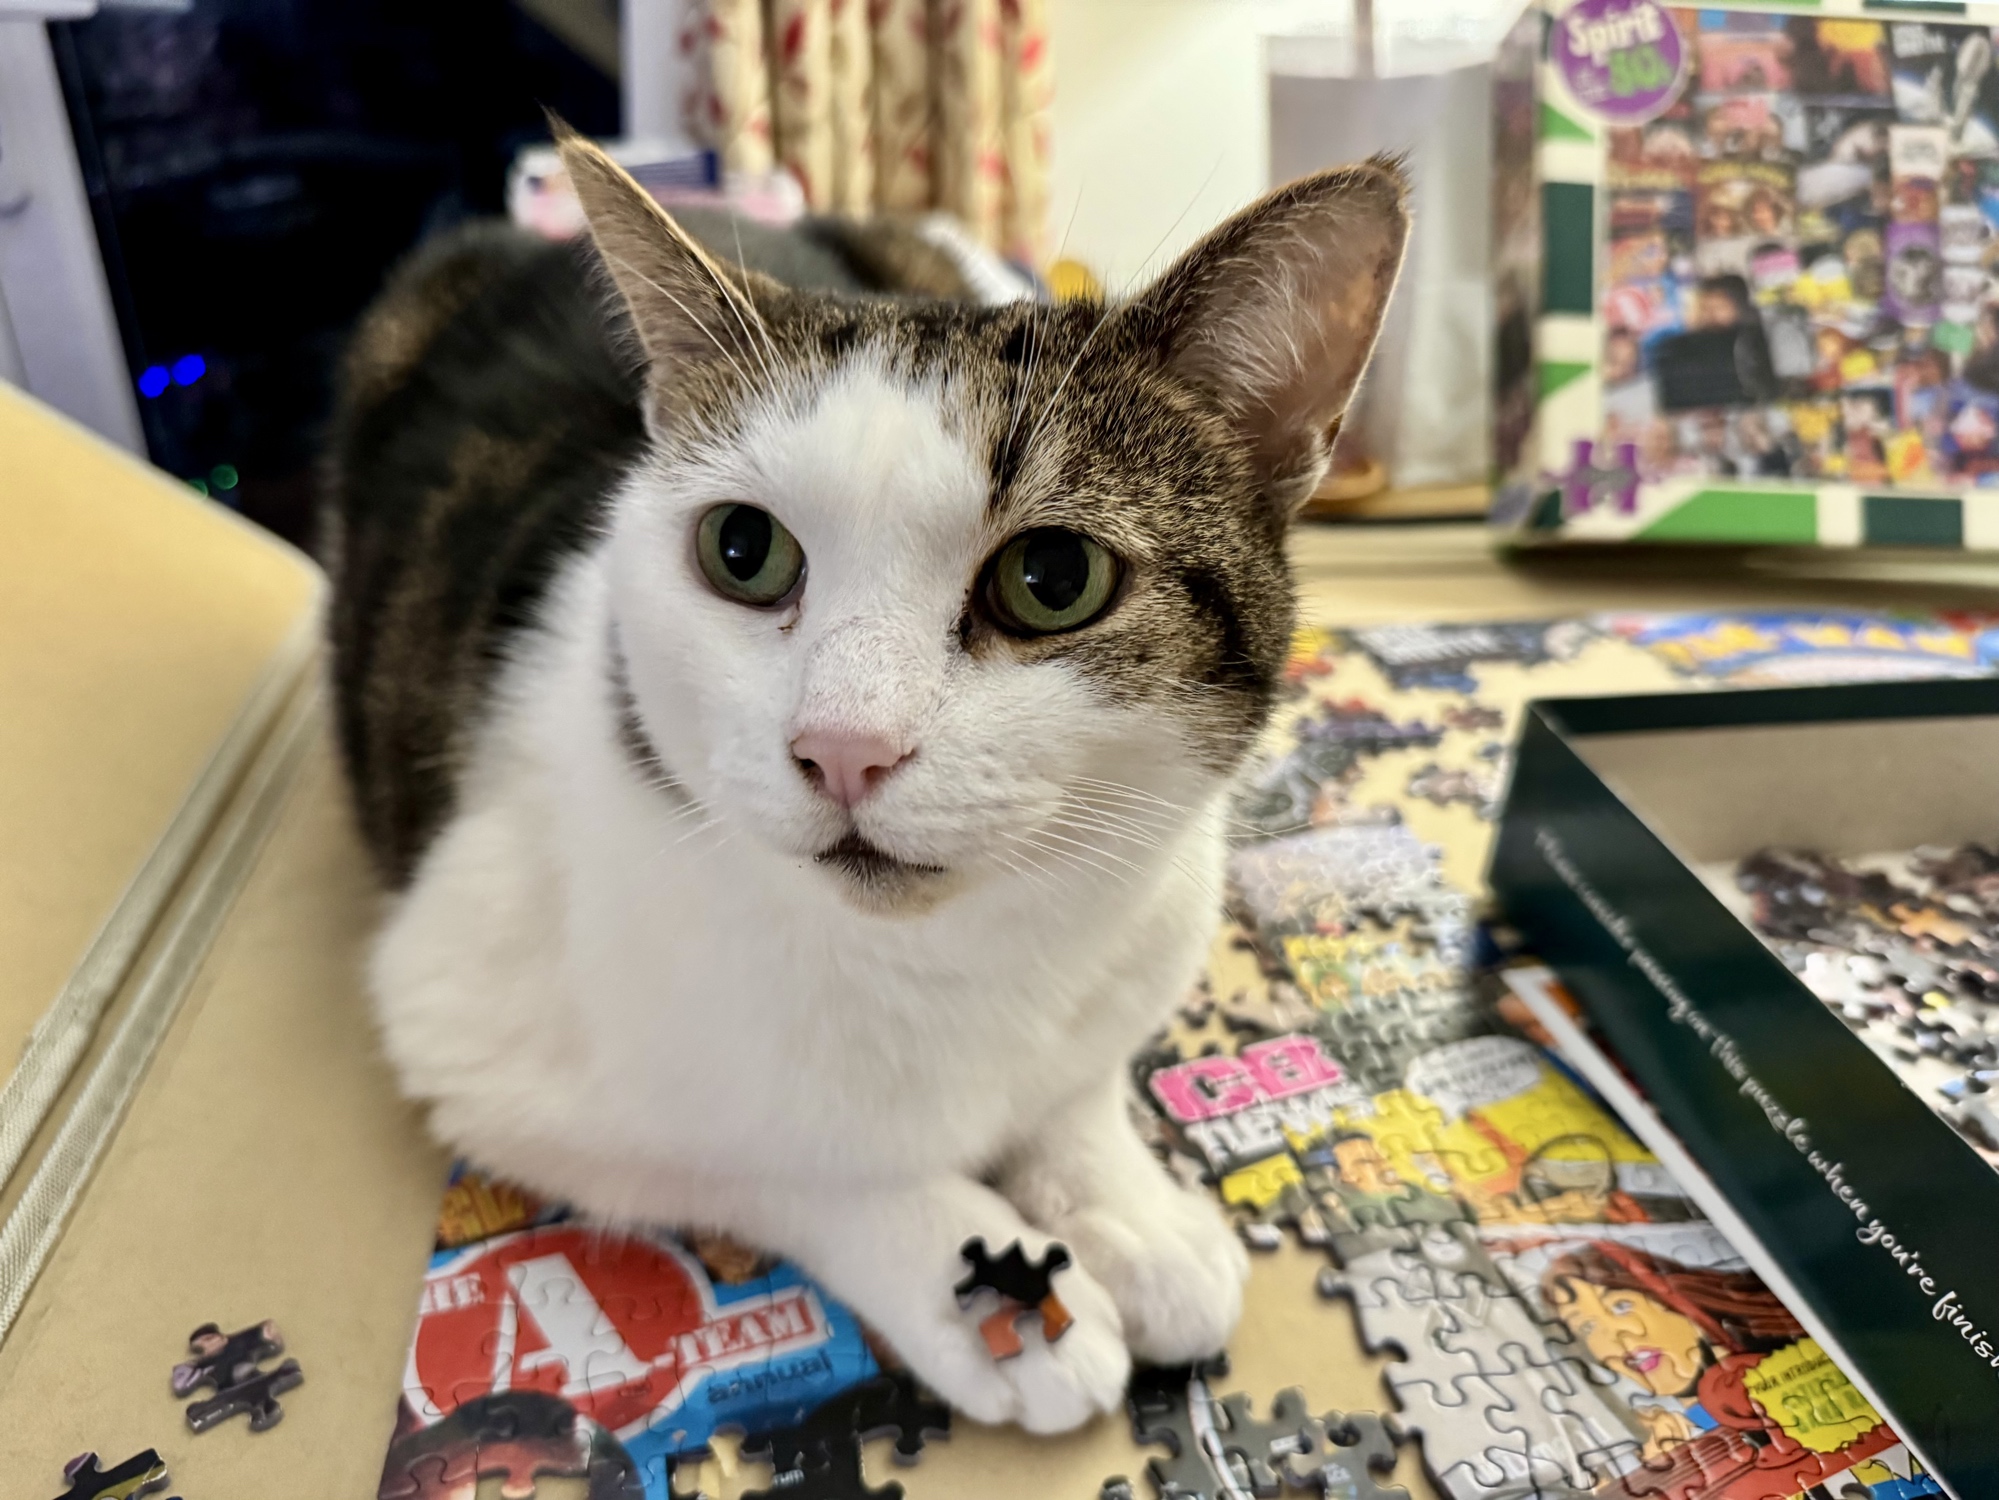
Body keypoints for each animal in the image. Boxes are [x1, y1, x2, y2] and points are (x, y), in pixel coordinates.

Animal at [326, 127, 1406, 1432]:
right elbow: (771, 1151)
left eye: (1054, 577)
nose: (843, 747)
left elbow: (1075, 1082)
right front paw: (983, 1275)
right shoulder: (466, 1025)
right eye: (742, 550)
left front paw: (1129, 1215)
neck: (954, 959)